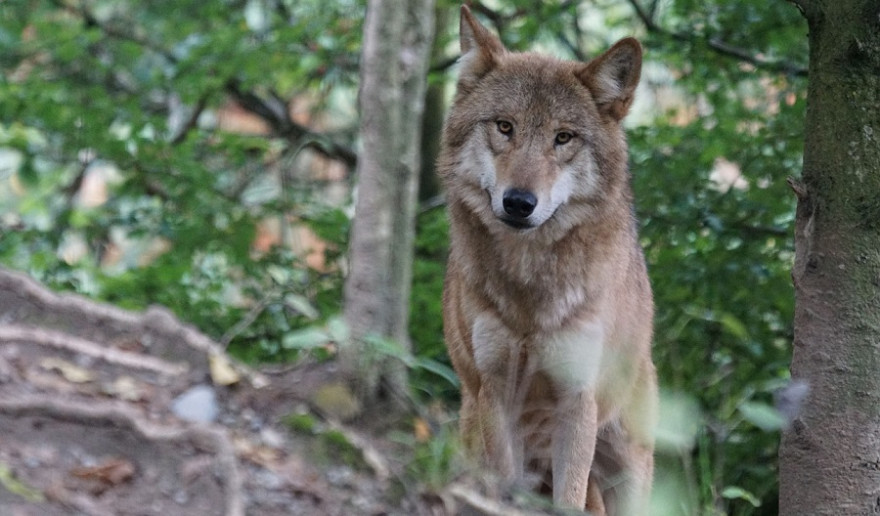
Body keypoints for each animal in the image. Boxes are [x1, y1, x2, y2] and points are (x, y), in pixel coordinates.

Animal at [436, 6, 656, 512]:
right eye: (504, 126)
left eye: (563, 137)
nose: (519, 202)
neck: (529, 291)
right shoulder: (496, 392)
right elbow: (503, 486)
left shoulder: (576, 400)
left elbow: (568, 499)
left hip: (627, 466)